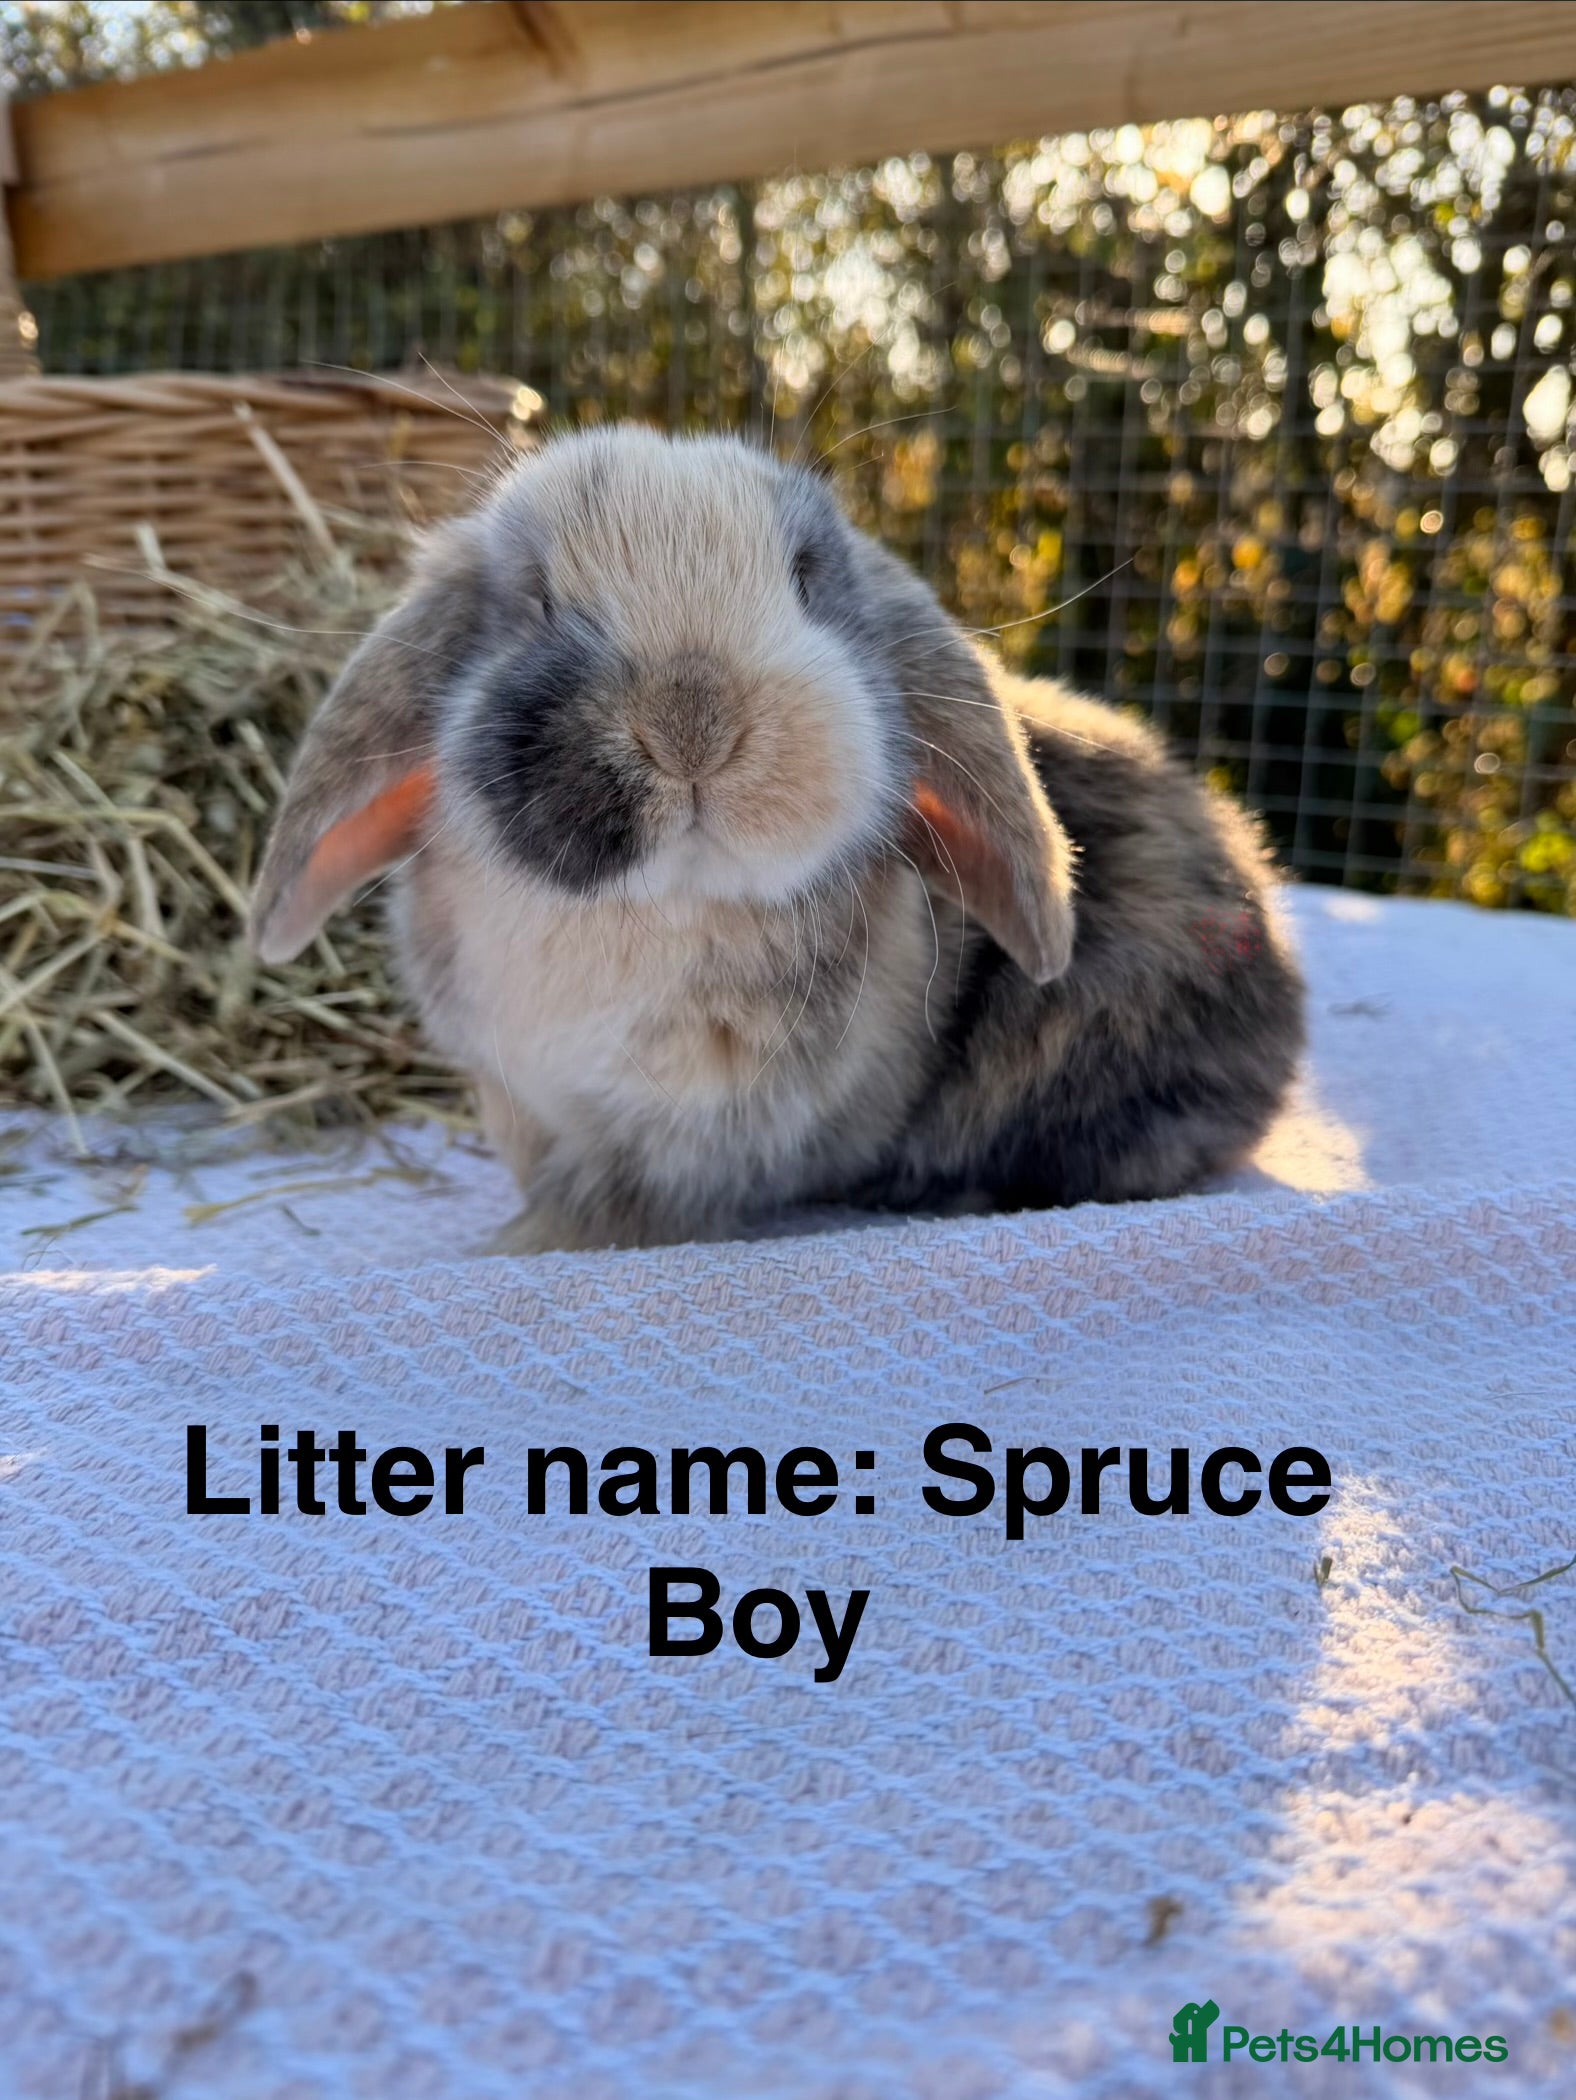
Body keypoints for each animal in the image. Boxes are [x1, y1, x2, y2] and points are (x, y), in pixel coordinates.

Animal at [250, 425, 1304, 1251]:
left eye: (802, 580)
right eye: (538, 602)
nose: (692, 721)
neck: (660, 907)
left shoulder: (691, 1139)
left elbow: (620, 1207)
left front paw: (523, 1246)